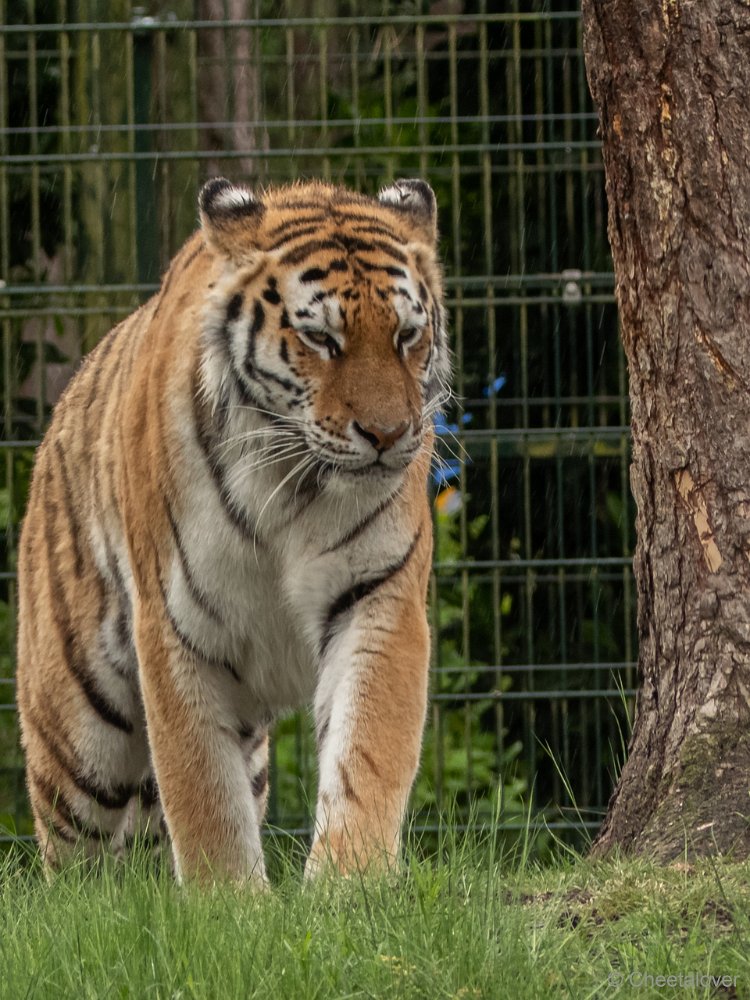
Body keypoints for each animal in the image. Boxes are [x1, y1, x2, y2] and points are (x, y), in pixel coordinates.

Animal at [16, 174, 452, 884]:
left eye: (407, 335)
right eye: (321, 339)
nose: (389, 435)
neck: (294, 484)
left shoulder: (378, 596)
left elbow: (367, 751)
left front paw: (349, 883)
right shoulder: (175, 623)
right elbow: (201, 787)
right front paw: (230, 897)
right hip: (79, 732)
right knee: (77, 862)